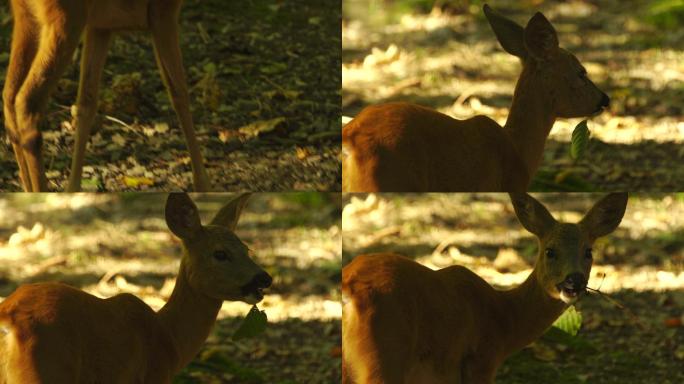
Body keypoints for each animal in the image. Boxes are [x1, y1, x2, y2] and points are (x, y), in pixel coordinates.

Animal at [0, 194, 272, 382]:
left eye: (247, 249)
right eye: (220, 253)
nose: (264, 279)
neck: (169, 336)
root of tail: (8, 320)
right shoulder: (153, 375)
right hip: (45, 369)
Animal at [2, 0, 211, 192]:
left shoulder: (100, 26)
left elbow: (86, 103)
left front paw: (73, 189)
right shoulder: (163, 13)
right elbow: (179, 93)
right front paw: (202, 185)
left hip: (27, 18)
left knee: (9, 97)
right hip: (66, 19)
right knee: (27, 100)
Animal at [344, 194, 628, 382]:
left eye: (588, 251)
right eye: (550, 251)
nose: (574, 280)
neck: (503, 319)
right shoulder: (481, 362)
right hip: (384, 354)